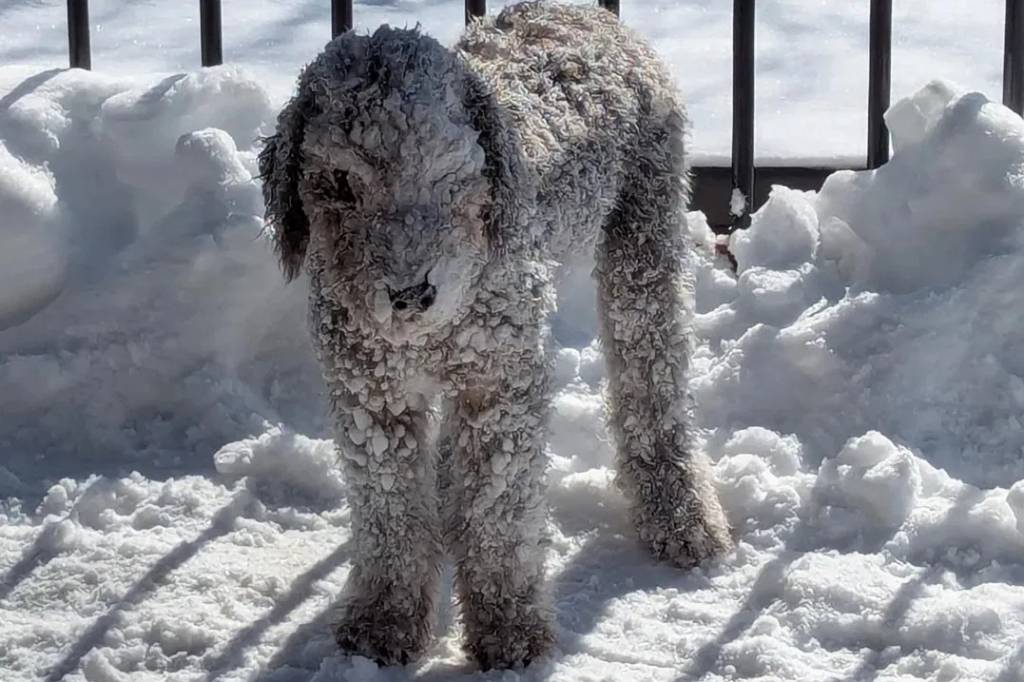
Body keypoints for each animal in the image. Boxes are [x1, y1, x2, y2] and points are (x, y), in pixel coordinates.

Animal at [259, 1, 732, 669]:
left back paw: (680, 514)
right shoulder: (370, 392)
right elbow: (388, 512)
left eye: (451, 173)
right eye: (340, 183)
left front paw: (509, 631)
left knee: (651, 379)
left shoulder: (502, 380)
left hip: (645, 227)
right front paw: (385, 624)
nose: (410, 294)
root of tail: (585, 12)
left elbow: (500, 514)